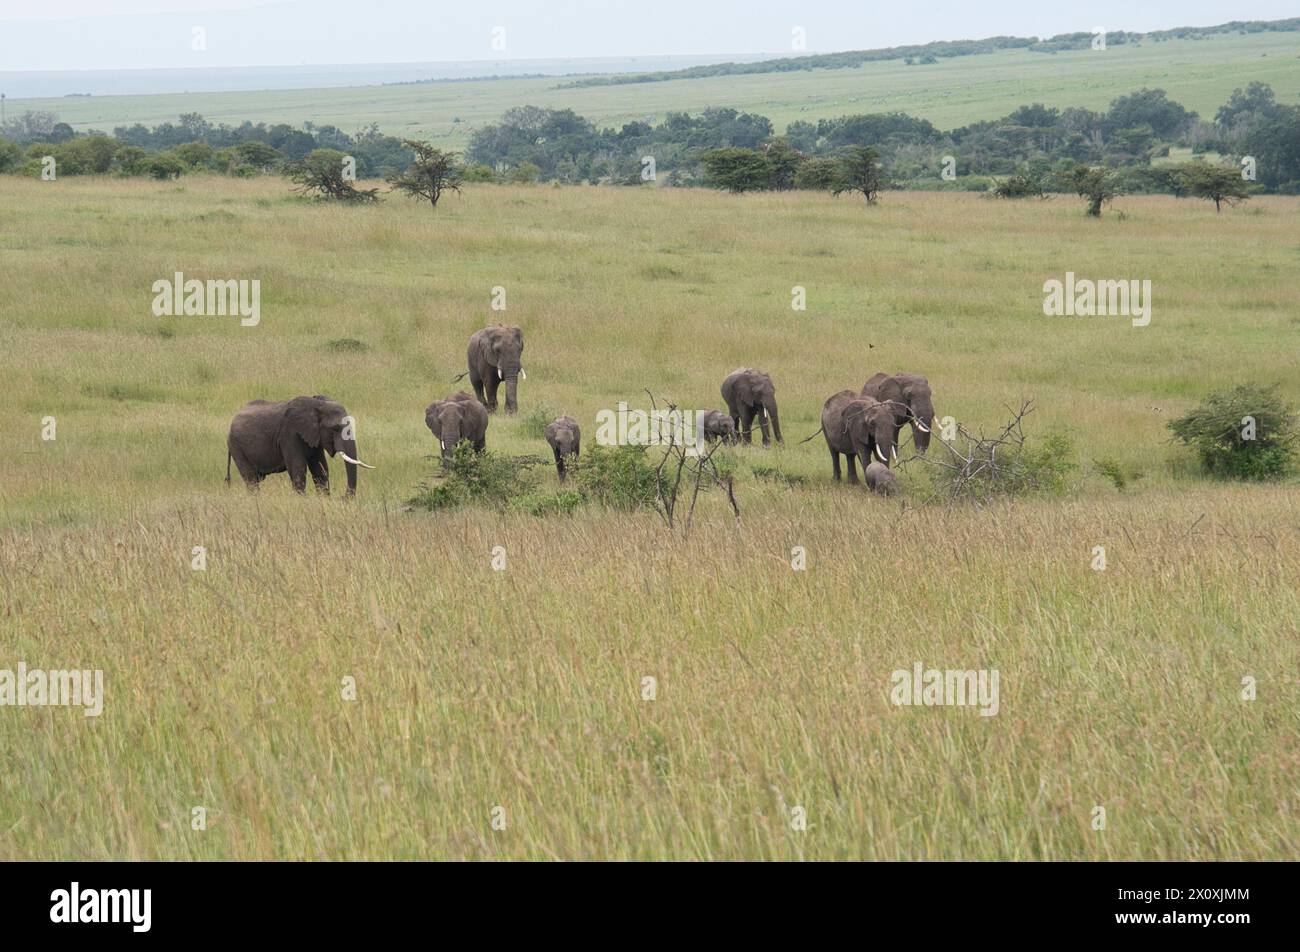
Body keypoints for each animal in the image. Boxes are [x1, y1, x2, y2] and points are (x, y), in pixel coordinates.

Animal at [226, 395, 373, 495]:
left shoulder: (314, 437)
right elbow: (298, 469)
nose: (343, 498)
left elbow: (320, 470)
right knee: (250, 479)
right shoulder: (289, 434)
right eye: (335, 428)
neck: (317, 405)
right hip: (236, 446)